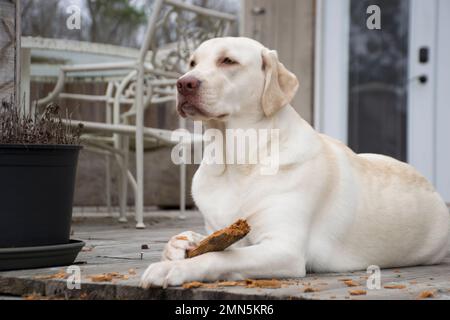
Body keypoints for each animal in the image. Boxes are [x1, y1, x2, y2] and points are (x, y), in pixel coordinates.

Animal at [139, 37, 448, 288]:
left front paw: (172, 269)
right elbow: (193, 239)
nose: (184, 83)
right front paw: (177, 247)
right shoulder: (218, 228)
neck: (237, 160)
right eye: (192, 62)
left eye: (228, 61)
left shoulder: (284, 249)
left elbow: (221, 256)